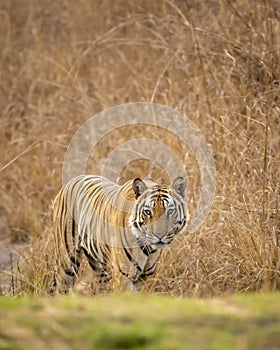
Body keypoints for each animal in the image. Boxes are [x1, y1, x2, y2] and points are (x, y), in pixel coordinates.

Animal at [52, 174, 188, 292]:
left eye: (170, 211)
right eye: (148, 212)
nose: (159, 235)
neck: (148, 248)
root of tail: (71, 181)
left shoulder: (148, 275)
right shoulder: (124, 275)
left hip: (100, 267)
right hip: (67, 262)